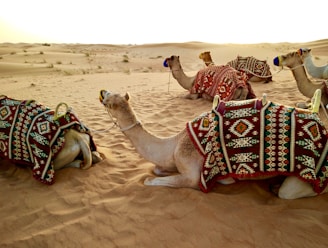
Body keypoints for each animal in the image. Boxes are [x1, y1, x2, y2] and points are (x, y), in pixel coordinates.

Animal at [98, 89, 328, 200]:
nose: (102, 91)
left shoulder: (192, 173)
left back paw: (277, 187)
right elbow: (156, 169)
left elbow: (149, 180)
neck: (174, 144)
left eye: (108, 100)